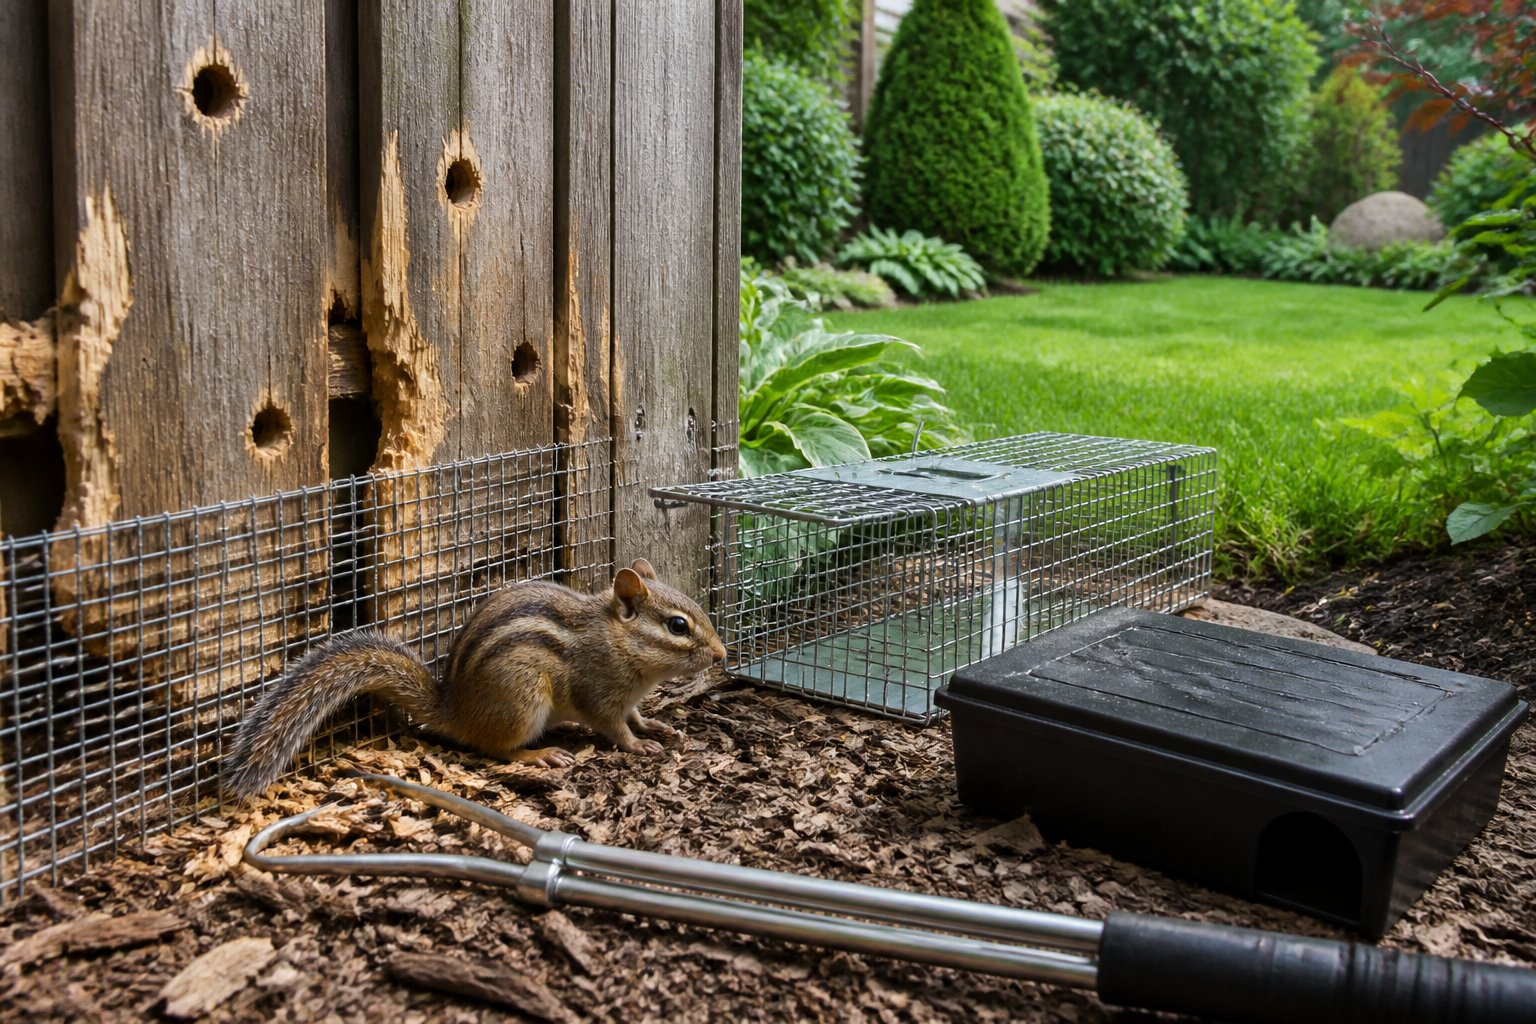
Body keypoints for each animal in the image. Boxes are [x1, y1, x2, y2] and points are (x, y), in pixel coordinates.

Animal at [223, 558, 726, 798]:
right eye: (678, 626)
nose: (721, 655)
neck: (618, 641)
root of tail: (455, 711)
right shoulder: (598, 691)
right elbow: (614, 726)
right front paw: (638, 745)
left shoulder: (629, 697)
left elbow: (636, 715)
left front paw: (656, 726)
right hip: (525, 701)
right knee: (493, 750)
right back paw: (539, 755)